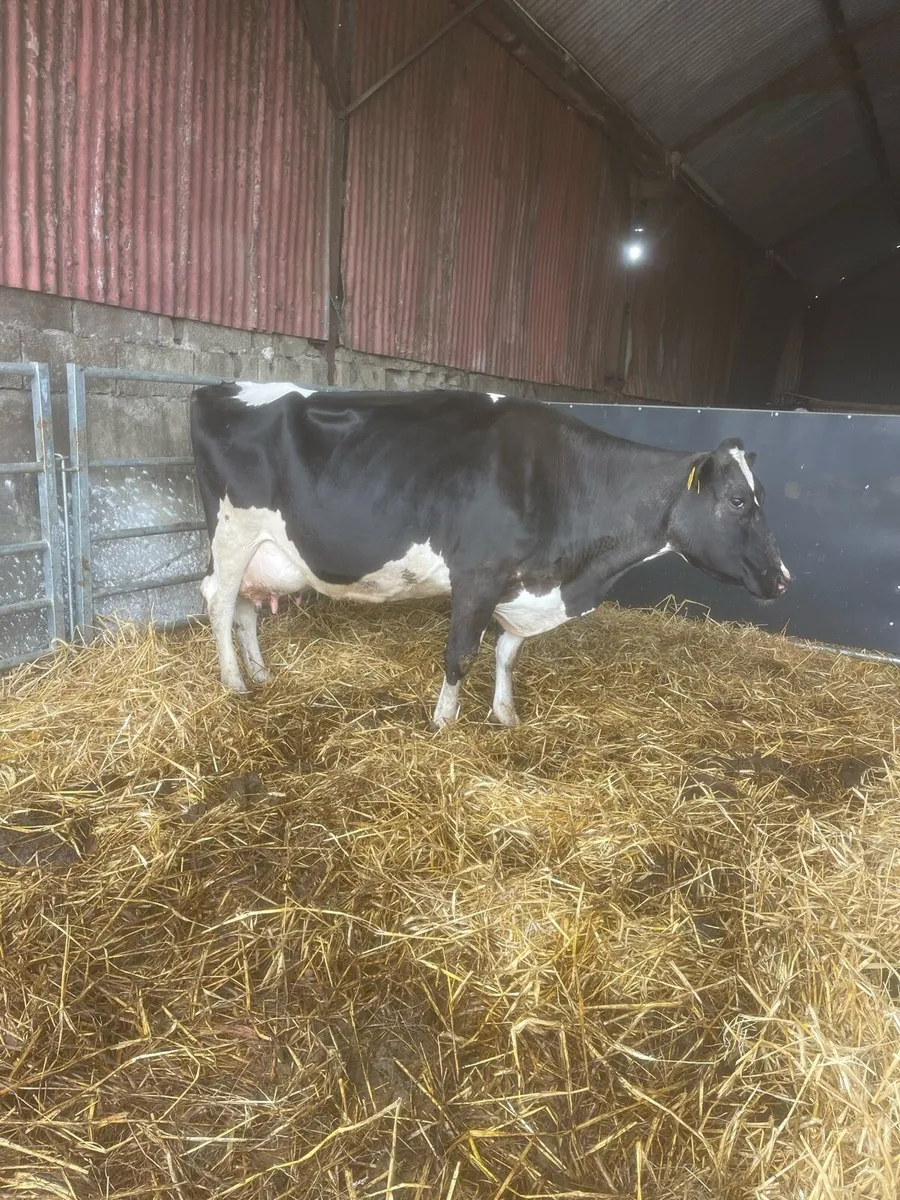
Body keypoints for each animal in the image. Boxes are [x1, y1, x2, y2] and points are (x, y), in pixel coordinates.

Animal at [190, 383, 790, 728]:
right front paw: (443, 721)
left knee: (244, 608)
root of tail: (217, 387)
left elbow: (507, 651)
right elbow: (461, 655)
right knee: (218, 601)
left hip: (263, 552)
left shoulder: (522, 583)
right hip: (232, 533)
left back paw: (260, 673)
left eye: (763, 495)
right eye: (738, 500)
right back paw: (234, 683)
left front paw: (504, 712)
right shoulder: (477, 574)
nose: (784, 578)